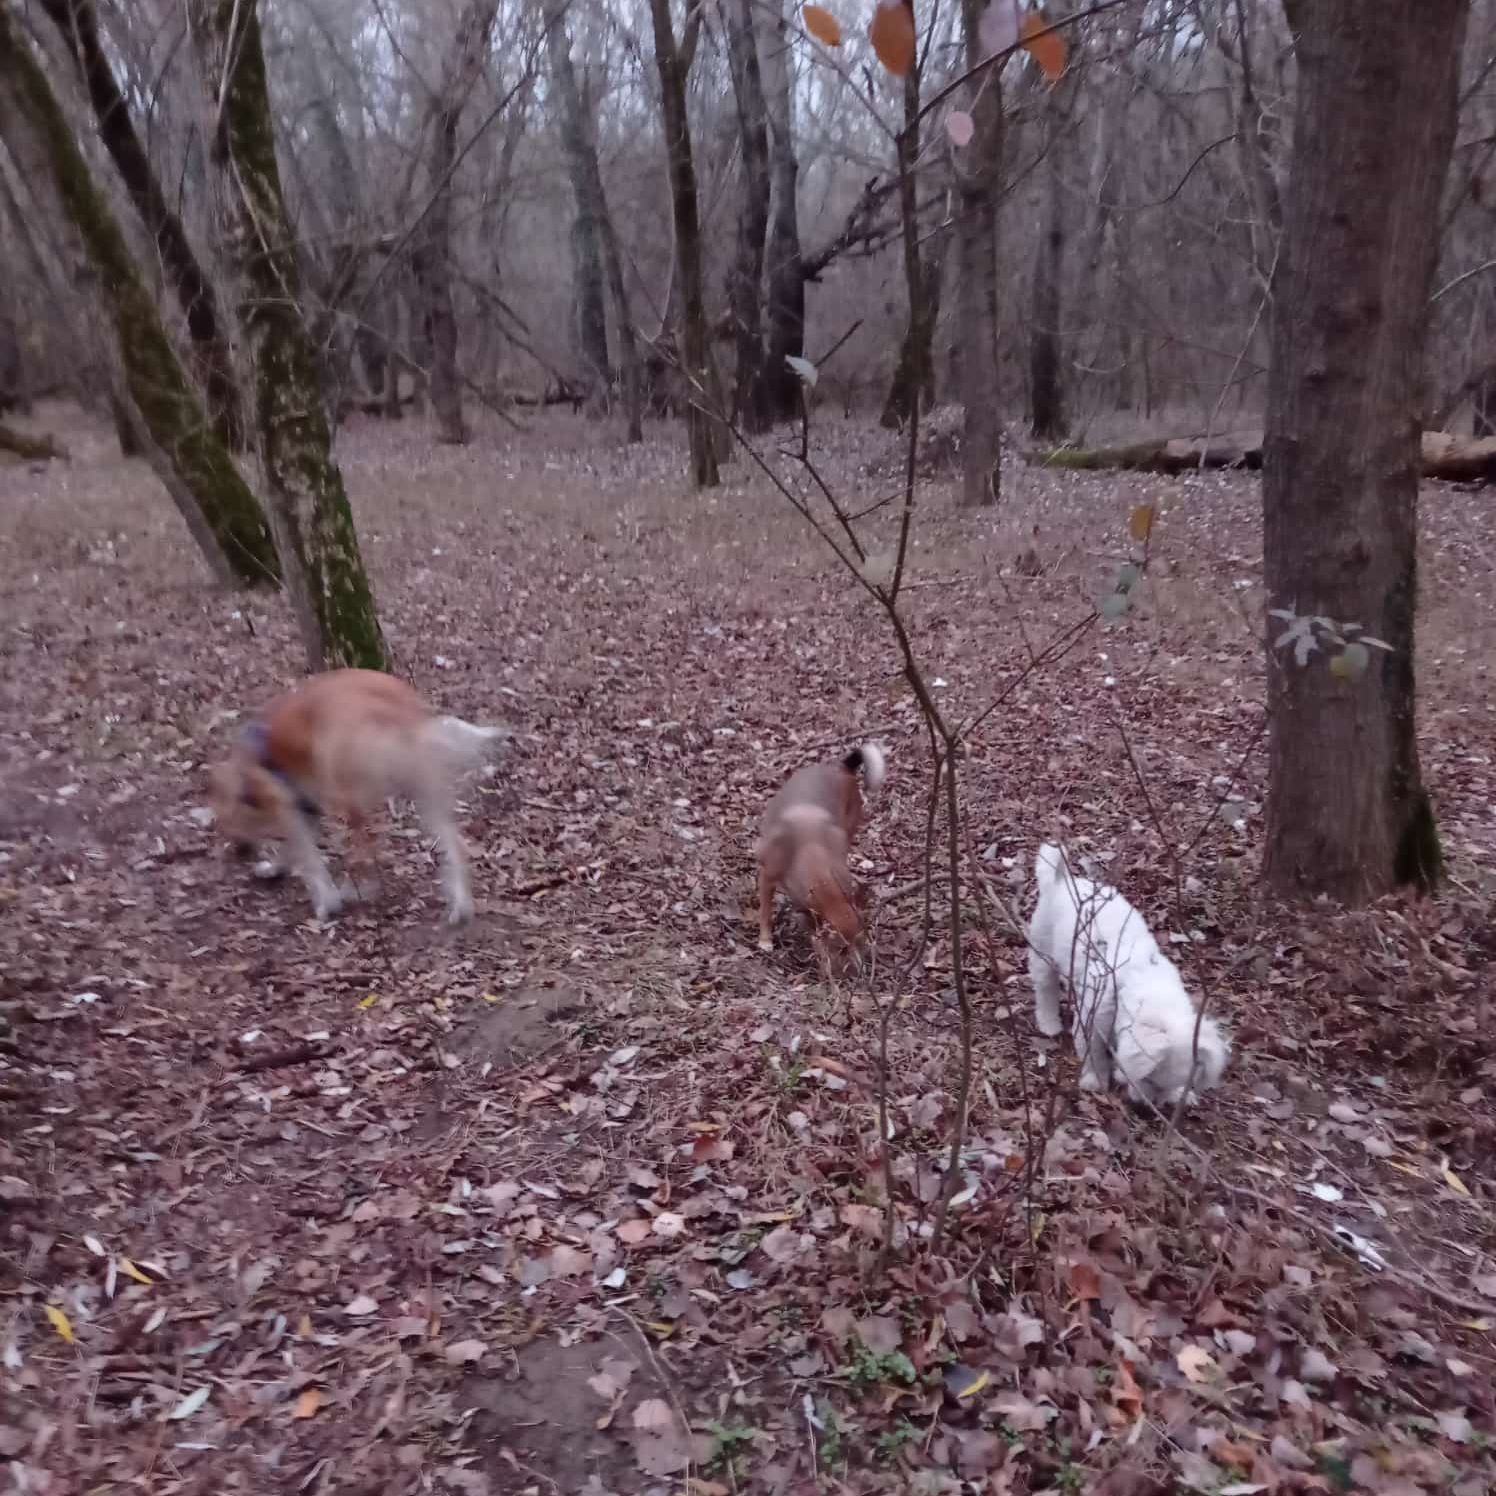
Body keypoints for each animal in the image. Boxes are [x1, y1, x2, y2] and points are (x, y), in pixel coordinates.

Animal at [209, 669, 505, 925]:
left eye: (226, 822)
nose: (239, 852)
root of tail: (401, 709)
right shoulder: (306, 807)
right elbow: (293, 851)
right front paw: (274, 869)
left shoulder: (288, 806)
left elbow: (309, 859)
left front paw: (325, 902)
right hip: (426, 792)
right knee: (453, 844)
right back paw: (460, 905)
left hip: (343, 784)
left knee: (366, 849)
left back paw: (354, 891)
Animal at [755, 743, 886, 956]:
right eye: (842, 949)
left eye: (861, 944)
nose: (860, 963)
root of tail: (842, 766)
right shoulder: (766, 877)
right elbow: (765, 912)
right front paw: (765, 940)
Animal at [1026, 842, 1229, 1108]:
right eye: (1148, 1079)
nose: (1151, 1105)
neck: (1141, 978)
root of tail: (1062, 881)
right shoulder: (1093, 1022)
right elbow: (1093, 1054)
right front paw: (1095, 1080)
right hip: (1043, 954)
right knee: (1045, 989)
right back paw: (1049, 1023)